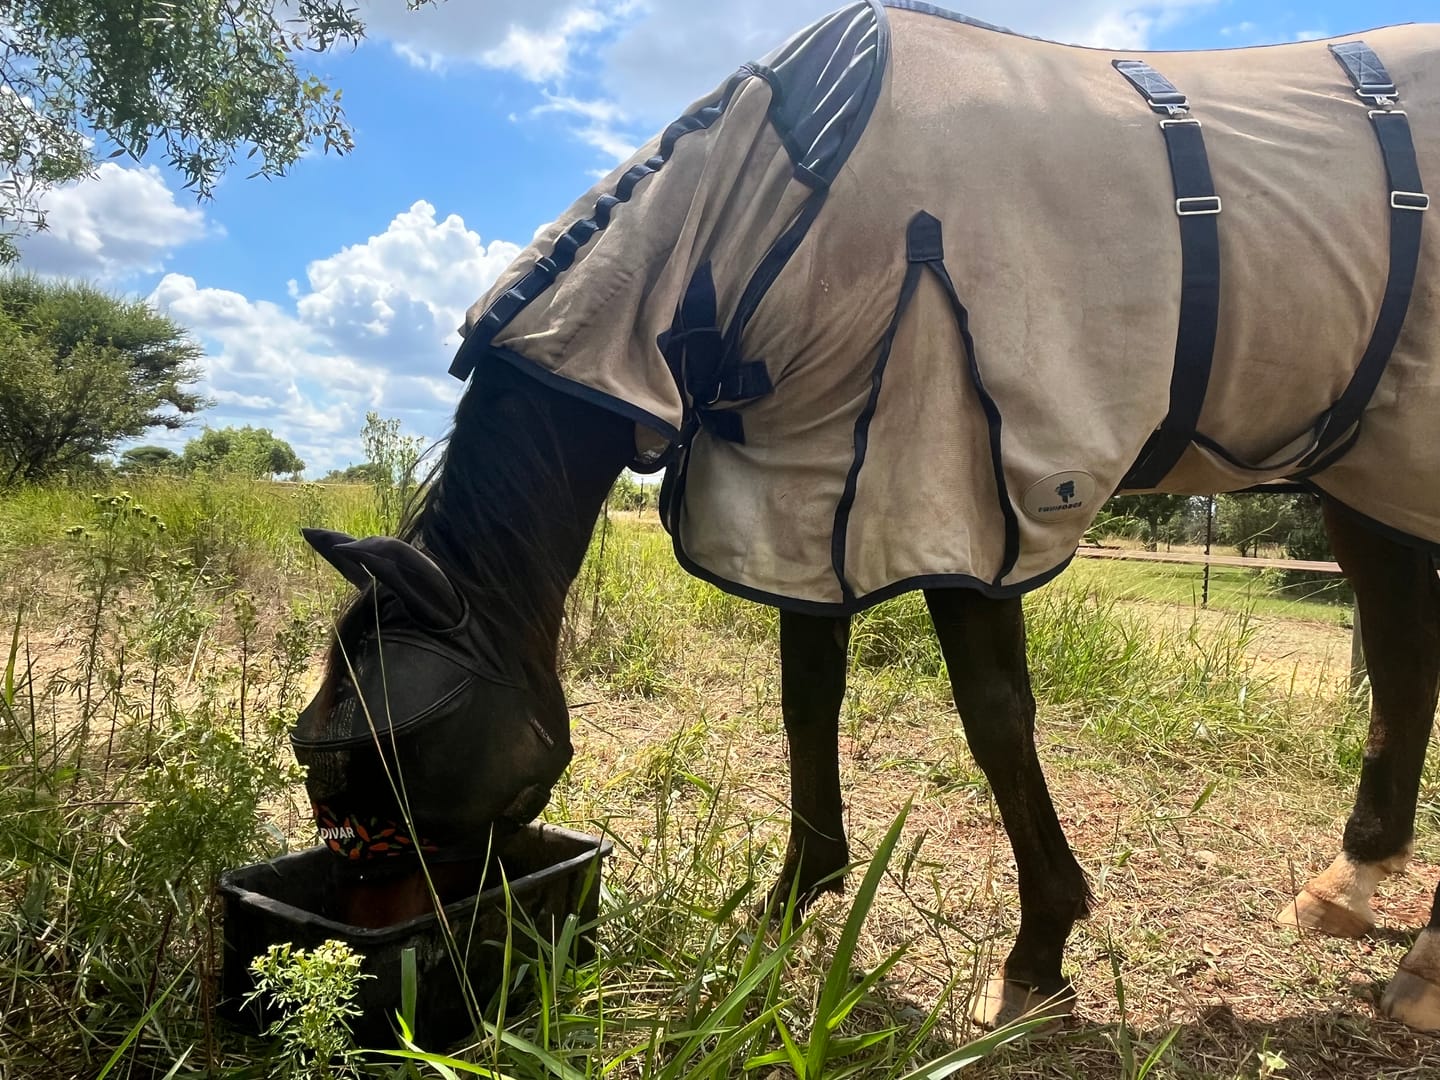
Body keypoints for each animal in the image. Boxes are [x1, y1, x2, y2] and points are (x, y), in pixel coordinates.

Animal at [295, 0, 1440, 1033]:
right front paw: (786, 907)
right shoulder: (806, 483)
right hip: (1370, 479)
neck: (775, 207)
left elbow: (995, 719)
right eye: (326, 781)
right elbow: (807, 699)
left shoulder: (955, 486)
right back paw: (1348, 888)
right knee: (1400, 659)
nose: (391, 947)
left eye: (388, 776)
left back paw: (1418, 973)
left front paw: (1036, 955)